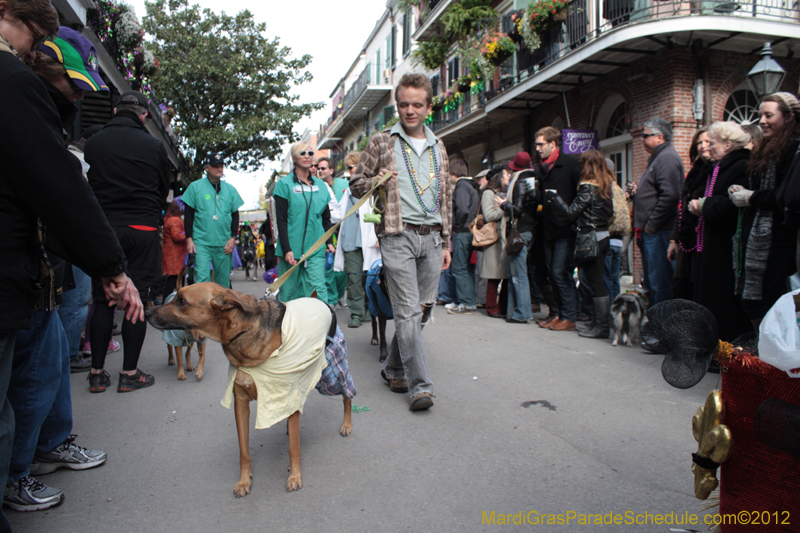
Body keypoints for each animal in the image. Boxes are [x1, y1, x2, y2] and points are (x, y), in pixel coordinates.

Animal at [145, 284, 352, 496]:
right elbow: (243, 451)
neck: (244, 334)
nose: (147, 313)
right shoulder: (241, 403)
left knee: (347, 396)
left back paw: (346, 425)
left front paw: (295, 476)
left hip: (332, 373)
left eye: (181, 301)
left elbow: (294, 449)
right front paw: (244, 481)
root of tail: (317, 300)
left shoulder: (286, 392)